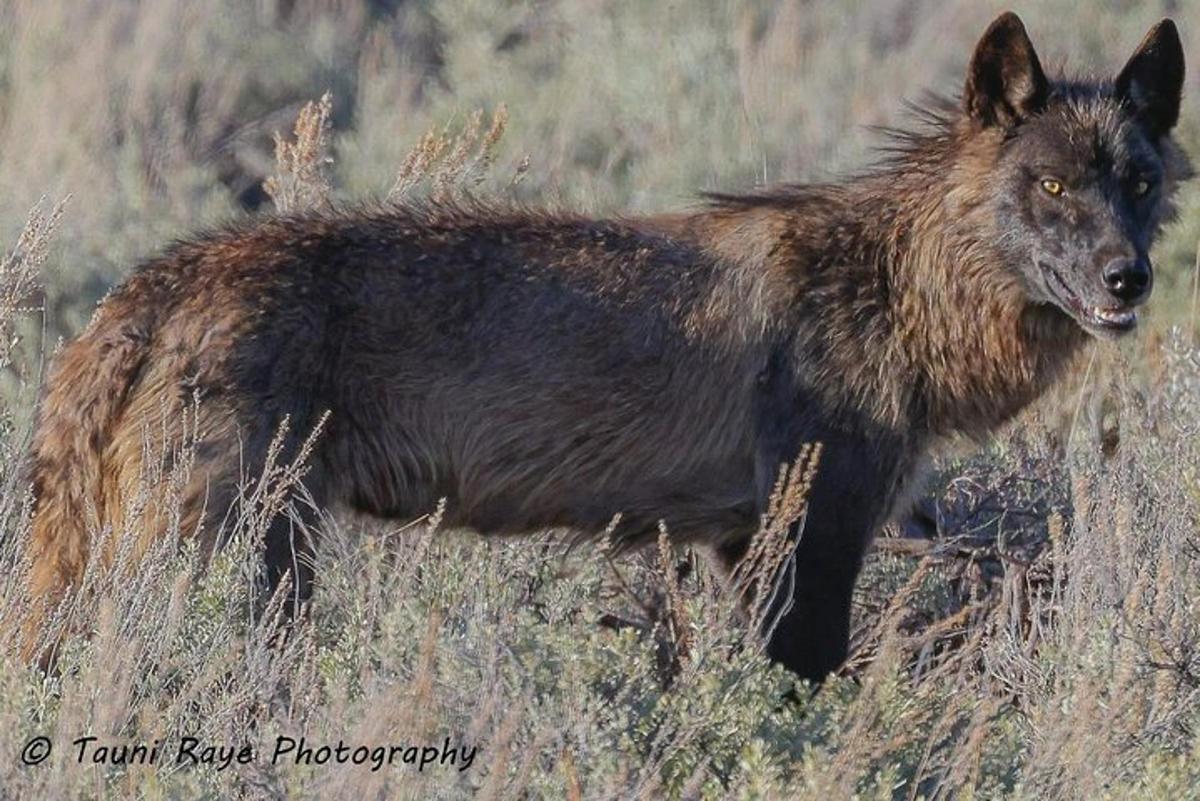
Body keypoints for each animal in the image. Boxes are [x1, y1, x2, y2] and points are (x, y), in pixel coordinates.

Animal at [23, 12, 1185, 681]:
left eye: (1136, 182)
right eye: (1051, 186)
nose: (1128, 279)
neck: (900, 287)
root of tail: (146, 287)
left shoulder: (741, 549)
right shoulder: (811, 544)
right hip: (234, 565)